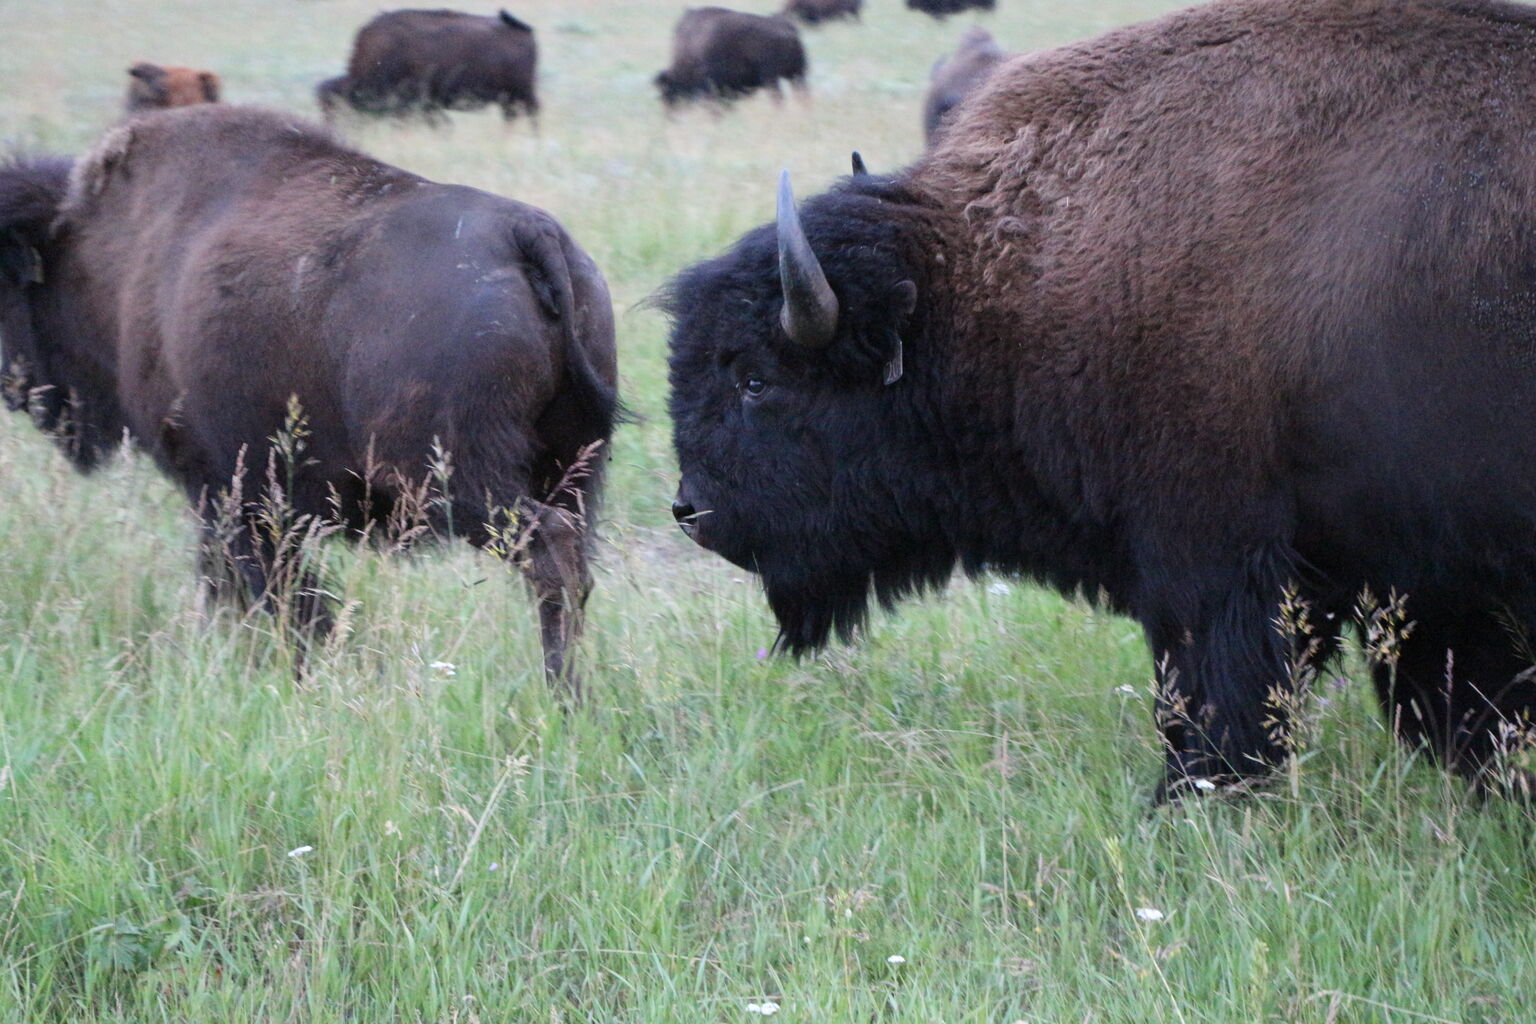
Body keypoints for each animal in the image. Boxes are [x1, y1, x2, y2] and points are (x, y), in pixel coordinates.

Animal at [4, 105, 623, 696]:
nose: (16, 390)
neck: (102, 250)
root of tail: (526, 231)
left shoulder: (222, 488)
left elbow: (271, 589)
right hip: (570, 469)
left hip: (454, 479)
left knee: (548, 552)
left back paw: (562, 696)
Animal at [654, 7, 811, 107]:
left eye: (668, 93)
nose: (670, 117)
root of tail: (788, 30)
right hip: (797, 74)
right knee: (802, 96)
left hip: (771, 78)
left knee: (779, 99)